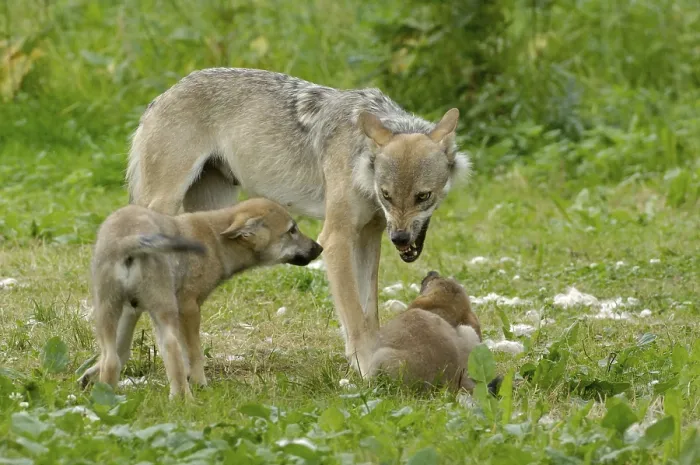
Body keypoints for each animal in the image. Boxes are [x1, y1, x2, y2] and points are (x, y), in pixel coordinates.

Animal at [125, 68, 470, 376]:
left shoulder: (368, 236)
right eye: (387, 195)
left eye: (423, 196)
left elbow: (369, 313)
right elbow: (354, 317)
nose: (399, 238)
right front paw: (365, 367)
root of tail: (162, 96)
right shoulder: (336, 238)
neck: (360, 157)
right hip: (166, 206)